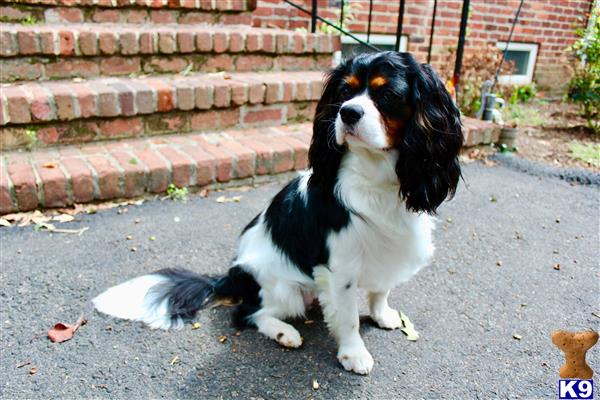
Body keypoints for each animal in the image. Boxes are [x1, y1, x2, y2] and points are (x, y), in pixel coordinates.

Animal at [92, 52, 464, 376]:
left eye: (387, 94)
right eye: (344, 93)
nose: (347, 113)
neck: (376, 173)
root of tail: (230, 275)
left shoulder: (388, 247)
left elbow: (381, 289)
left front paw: (382, 314)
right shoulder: (341, 267)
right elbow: (348, 318)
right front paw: (353, 353)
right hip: (284, 290)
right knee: (245, 314)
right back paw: (284, 332)